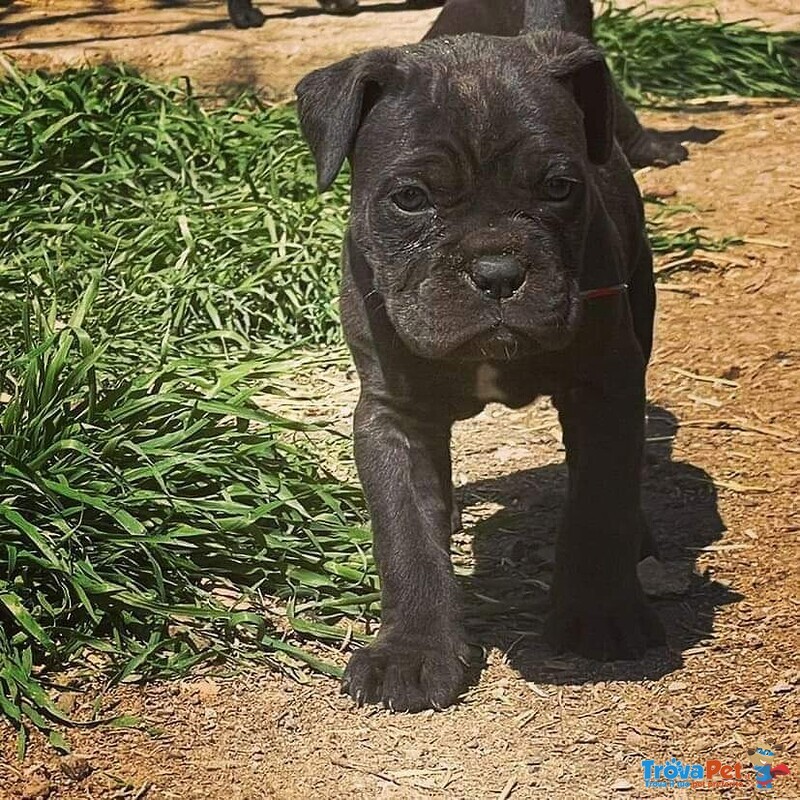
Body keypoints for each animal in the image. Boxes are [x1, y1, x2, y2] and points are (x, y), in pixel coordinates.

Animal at [296, 29, 664, 712]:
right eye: (410, 199)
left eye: (559, 188)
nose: (497, 272)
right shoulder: (394, 416)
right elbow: (406, 535)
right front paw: (412, 653)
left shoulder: (606, 389)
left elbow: (599, 501)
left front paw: (600, 614)